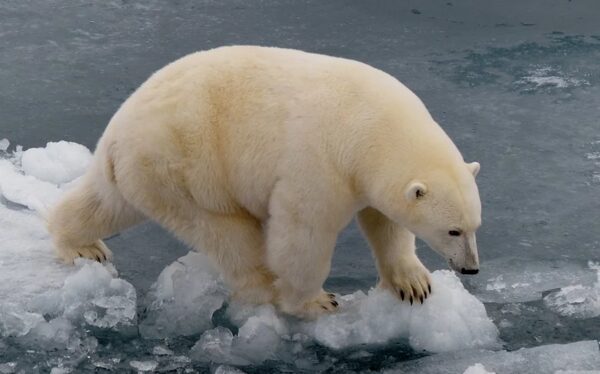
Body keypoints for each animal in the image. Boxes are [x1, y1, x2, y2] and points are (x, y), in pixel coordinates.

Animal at [47, 44, 482, 318]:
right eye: (454, 230)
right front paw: (313, 302)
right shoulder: (318, 162)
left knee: (107, 202)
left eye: (475, 226)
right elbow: (303, 234)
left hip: (142, 170)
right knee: (227, 234)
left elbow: (385, 221)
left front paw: (414, 285)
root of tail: (118, 132)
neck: (371, 127)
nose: (472, 269)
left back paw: (83, 245)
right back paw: (265, 290)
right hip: (186, 170)